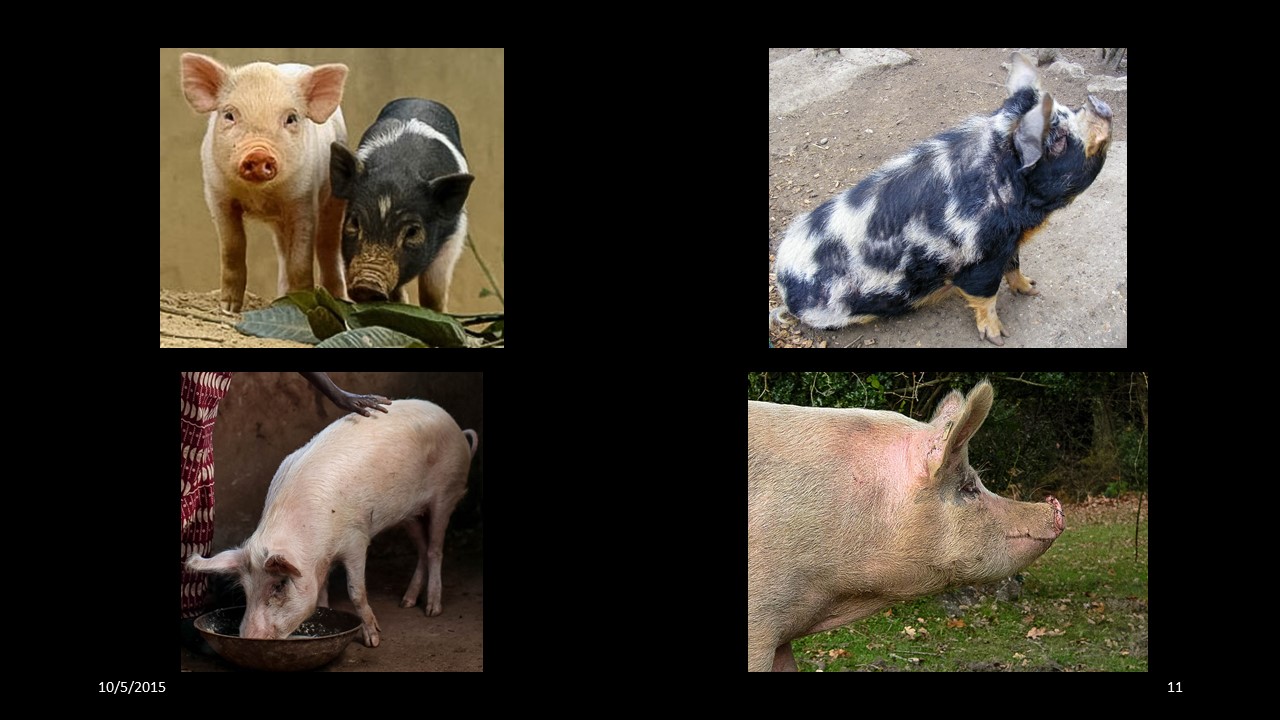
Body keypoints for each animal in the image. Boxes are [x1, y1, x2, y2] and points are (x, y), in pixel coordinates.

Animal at [180, 53, 351, 313]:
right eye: (229, 115)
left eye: (291, 118)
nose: (258, 154)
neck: (259, 196)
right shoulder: (217, 195)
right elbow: (232, 249)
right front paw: (228, 309)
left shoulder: (303, 199)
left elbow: (301, 260)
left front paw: (302, 307)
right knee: (283, 253)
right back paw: (280, 299)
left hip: (334, 200)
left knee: (327, 247)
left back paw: (340, 300)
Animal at [186, 399, 477, 648]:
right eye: (245, 590)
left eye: (279, 586)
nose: (250, 637)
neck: (317, 547)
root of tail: (455, 426)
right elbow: (323, 591)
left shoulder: (357, 539)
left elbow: (356, 591)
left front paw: (373, 640)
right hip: (410, 514)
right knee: (422, 549)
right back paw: (406, 602)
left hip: (446, 493)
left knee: (435, 549)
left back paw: (432, 609)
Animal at [329, 98, 475, 310]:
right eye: (354, 222)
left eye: (413, 231)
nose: (367, 285)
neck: (399, 168)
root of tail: (421, 99)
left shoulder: (453, 237)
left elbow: (432, 291)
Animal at [772, 52, 1113, 345]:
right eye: (1059, 140)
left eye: (1069, 108)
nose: (1097, 103)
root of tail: (782, 284)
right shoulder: (982, 256)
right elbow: (985, 294)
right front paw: (998, 337)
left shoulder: (1009, 242)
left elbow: (1015, 266)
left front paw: (1032, 289)